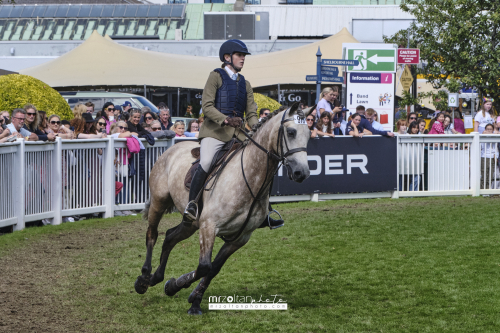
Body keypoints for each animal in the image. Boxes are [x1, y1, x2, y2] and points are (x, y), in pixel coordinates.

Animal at [133, 102, 312, 314]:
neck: (249, 176)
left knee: (169, 237)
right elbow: (204, 266)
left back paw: (157, 277)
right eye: (291, 132)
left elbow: (213, 268)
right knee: (152, 234)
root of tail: (172, 148)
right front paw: (176, 286)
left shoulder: (240, 238)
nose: (302, 173)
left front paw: (191, 297)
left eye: (309, 134)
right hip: (159, 203)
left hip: (191, 222)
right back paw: (144, 279)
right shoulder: (209, 227)